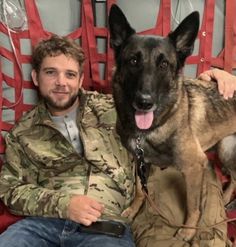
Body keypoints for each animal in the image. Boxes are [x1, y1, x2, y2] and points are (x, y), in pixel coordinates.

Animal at [109, 4, 236, 242]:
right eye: (133, 61)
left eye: (164, 64)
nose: (144, 102)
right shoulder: (139, 161)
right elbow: (140, 190)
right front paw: (133, 210)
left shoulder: (194, 167)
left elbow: (193, 206)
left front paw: (188, 231)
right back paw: (225, 199)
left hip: (225, 151)